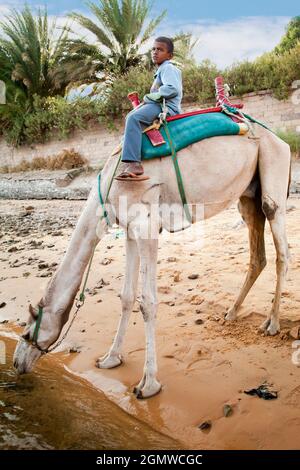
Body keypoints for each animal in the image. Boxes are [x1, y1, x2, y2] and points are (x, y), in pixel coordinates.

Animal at [13, 123, 290, 398]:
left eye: (26, 332)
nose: (17, 363)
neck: (109, 189)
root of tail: (281, 141)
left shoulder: (146, 226)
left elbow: (148, 302)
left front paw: (148, 384)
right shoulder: (128, 230)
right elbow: (126, 296)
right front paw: (110, 358)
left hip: (272, 166)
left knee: (280, 245)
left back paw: (272, 323)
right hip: (248, 195)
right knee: (257, 254)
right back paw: (231, 312)